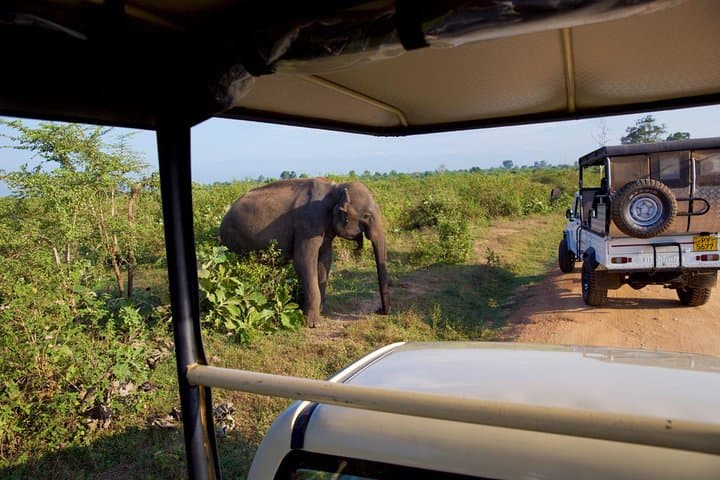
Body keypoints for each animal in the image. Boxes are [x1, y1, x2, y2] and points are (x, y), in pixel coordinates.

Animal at [219, 178, 390, 327]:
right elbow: (304, 262)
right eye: (367, 216)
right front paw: (313, 324)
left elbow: (325, 260)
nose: (379, 311)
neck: (335, 189)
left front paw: (320, 312)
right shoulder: (308, 224)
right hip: (233, 241)